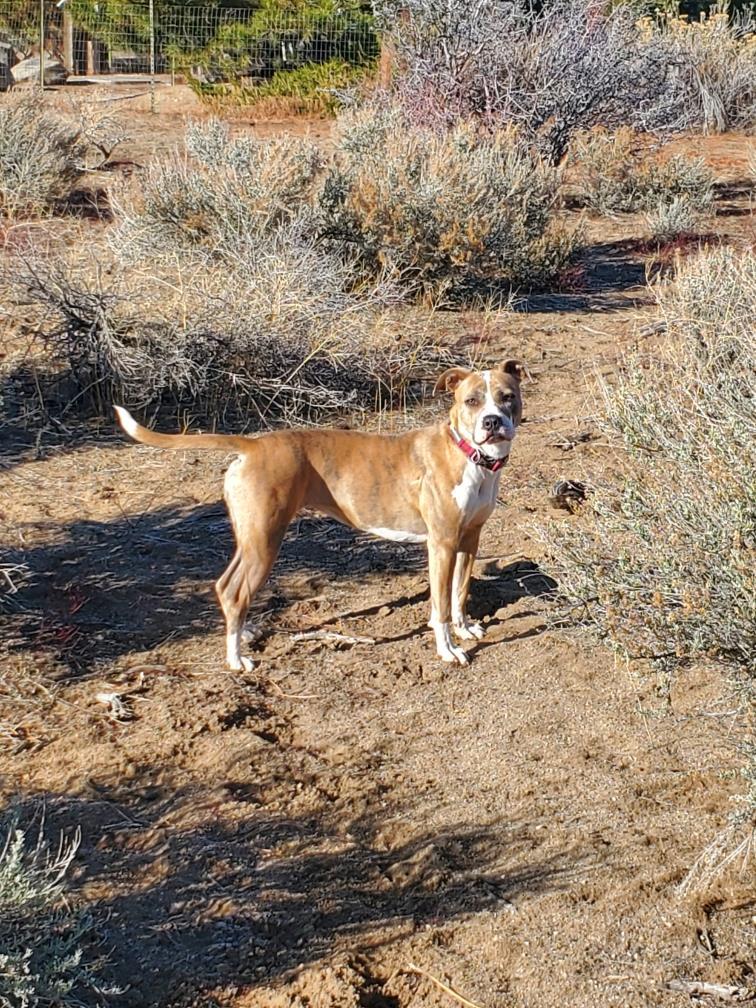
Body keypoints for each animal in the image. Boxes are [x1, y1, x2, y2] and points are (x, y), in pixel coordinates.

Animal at [113, 360, 528, 669]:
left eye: (507, 397)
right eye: (471, 401)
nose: (492, 421)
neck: (468, 454)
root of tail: (253, 445)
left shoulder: (469, 538)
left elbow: (460, 591)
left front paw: (466, 628)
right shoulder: (441, 544)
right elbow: (439, 605)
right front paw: (448, 649)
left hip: (251, 539)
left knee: (226, 586)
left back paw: (243, 634)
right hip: (265, 542)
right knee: (234, 591)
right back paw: (236, 659)